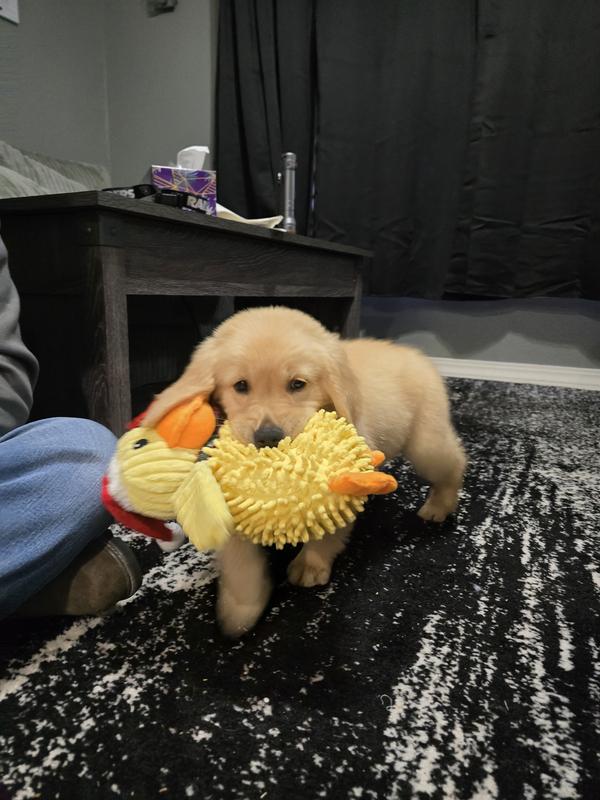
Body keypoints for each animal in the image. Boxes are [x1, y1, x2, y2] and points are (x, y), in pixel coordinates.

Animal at [144, 306, 466, 636]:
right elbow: (239, 559)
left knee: (455, 461)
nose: (268, 436)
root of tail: (414, 354)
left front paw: (311, 564)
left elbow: (327, 530)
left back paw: (440, 505)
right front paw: (240, 608)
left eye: (297, 384)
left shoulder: (341, 480)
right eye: (241, 386)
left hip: (427, 445)